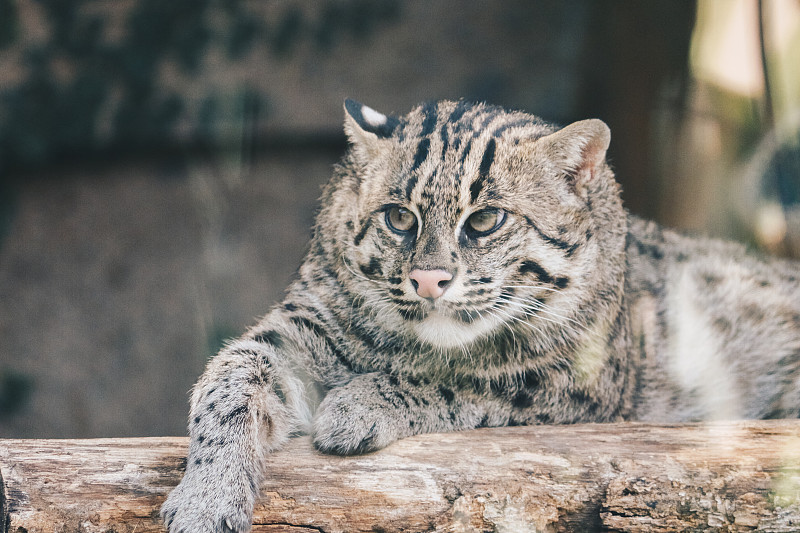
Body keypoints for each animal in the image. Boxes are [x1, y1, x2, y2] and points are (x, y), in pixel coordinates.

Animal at [159, 97, 796, 528]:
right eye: (399, 217)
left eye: (486, 220)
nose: (427, 279)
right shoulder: (300, 325)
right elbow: (229, 375)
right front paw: (205, 502)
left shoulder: (585, 385)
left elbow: (473, 382)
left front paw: (356, 405)